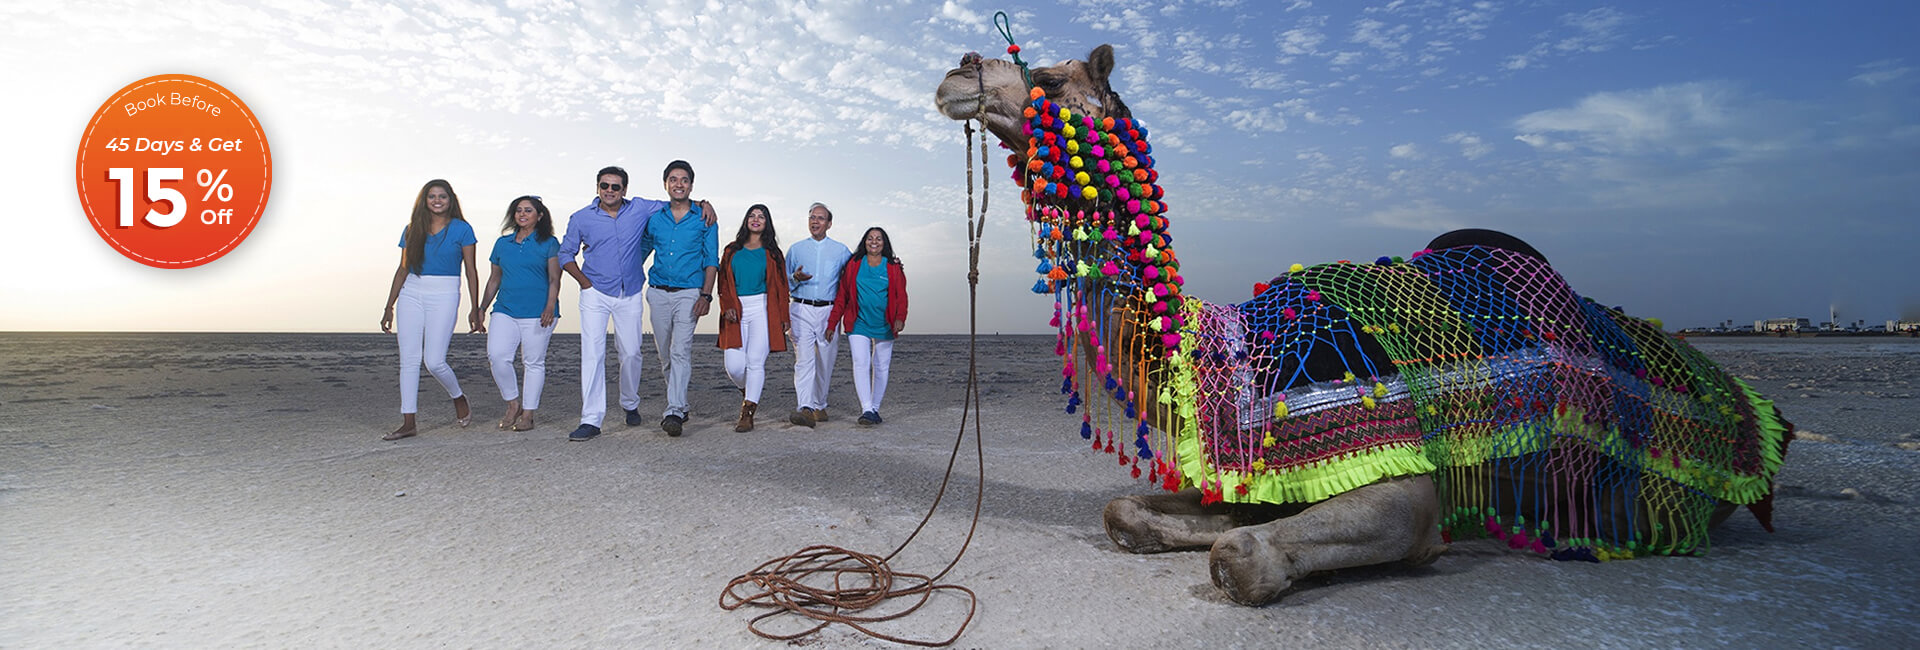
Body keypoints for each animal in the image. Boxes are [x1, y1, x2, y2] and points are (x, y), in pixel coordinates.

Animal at [936, 44, 1789, 605]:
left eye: (1050, 78)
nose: (960, 70)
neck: (1231, 356)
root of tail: (1757, 409)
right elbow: (1130, 512)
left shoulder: (1407, 483)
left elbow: (1241, 554)